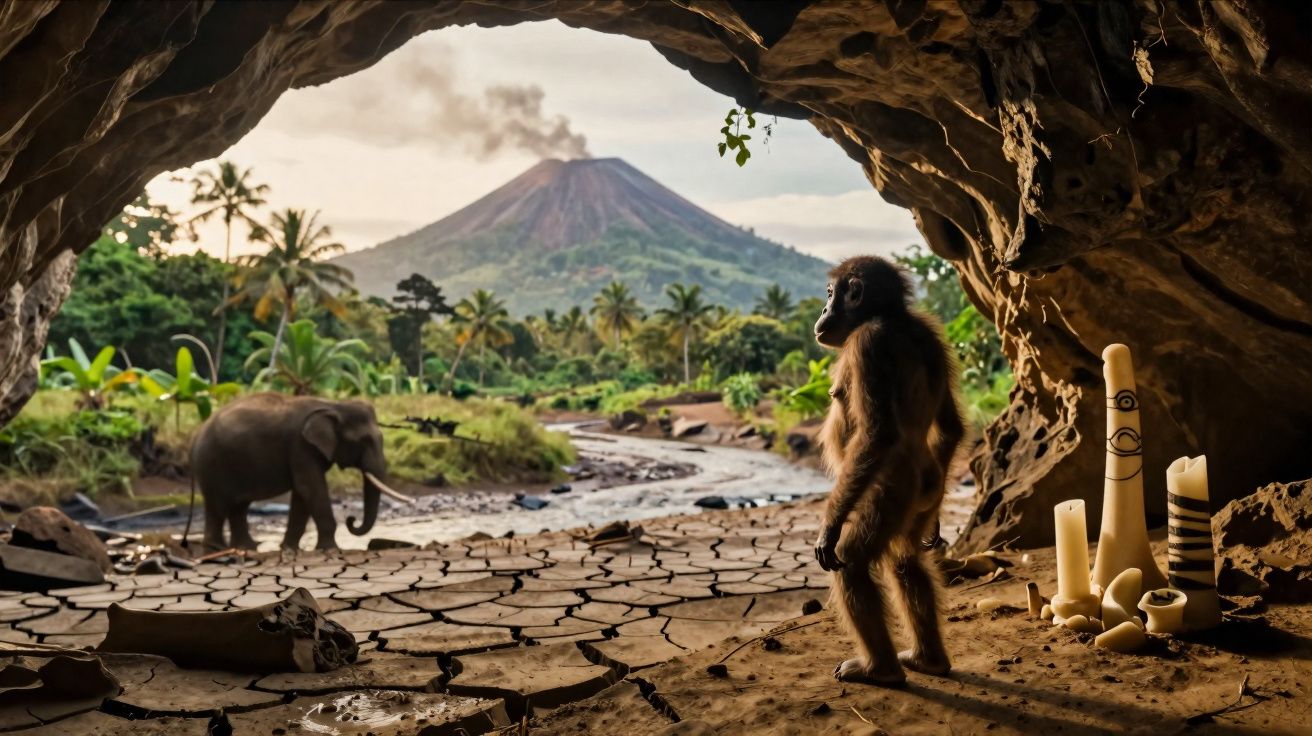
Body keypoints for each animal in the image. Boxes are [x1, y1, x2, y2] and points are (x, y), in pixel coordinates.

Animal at [186, 393, 412, 552]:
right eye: (363, 441)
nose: (351, 520)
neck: (333, 405)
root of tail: (196, 434)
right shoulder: (300, 446)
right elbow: (309, 488)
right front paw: (331, 549)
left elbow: (302, 494)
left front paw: (289, 548)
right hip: (212, 465)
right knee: (218, 505)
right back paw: (218, 549)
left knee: (238, 506)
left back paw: (247, 547)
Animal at [812, 254, 965, 686]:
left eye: (831, 294)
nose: (823, 310)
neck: (893, 316)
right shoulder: (934, 338)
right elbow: (951, 426)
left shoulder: (868, 342)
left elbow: (878, 435)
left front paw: (829, 529)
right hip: (921, 499)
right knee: (905, 560)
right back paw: (928, 660)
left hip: (889, 492)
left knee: (853, 561)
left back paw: (879, 669)